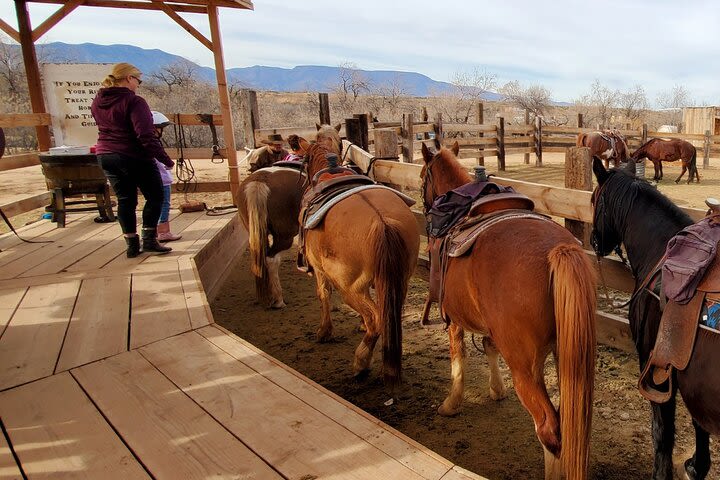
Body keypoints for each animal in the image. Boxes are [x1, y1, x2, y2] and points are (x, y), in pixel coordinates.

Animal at [233, 124, 340, 308]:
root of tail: (259, 182)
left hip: (255, 231)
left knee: (260, 257)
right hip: (284, 235)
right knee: (271, 258)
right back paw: (278, 299)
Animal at [298, 135, 422, 386]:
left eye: (304, 160)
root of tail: (382, 222)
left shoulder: (319, 270)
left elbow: (323, 294)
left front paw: (324, 331)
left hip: (350, 289)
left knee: (376, 319)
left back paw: (361, 363)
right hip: (399, 281)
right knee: (385, 316)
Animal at [422, 142, 596, 480]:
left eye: (423, 176)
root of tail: (558, 250)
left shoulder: (453, 317)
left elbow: (458, 355)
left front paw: (451, 403)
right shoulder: (491, 327)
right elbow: (488, 347)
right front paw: (496, 390)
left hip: (526, 369)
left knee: (549, 429)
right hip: (568, 359)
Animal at [592, 158, 716, 480]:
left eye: (594, 200)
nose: (594, 241)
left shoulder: (655, 368)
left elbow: (662, 433)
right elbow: (699, 424)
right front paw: (697, 465)